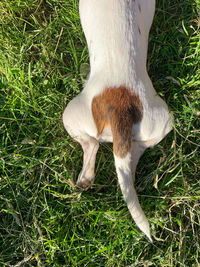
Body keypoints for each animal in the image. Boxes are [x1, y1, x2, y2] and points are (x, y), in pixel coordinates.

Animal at [62, 0, 172, 243]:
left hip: (70, 114)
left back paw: (85, 178)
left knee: (91, 145)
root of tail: (121, 105)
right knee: (135, 152)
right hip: (163, 119)